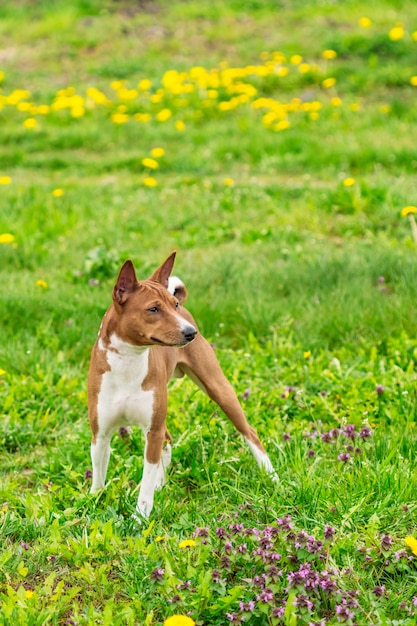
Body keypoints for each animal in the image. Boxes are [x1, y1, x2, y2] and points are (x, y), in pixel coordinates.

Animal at [88, 250, 276, 516]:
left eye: (173, 305)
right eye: (153, 309)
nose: (190, 332)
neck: (128, 361)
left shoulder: (152, 431)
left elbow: (145, 482)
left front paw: (140, 516)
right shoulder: (101, 433)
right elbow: (98, 477)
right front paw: (94, 502)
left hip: (219, 389)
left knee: (250, 432)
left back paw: (271, 476)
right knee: (167, 441)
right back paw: (161, 485)